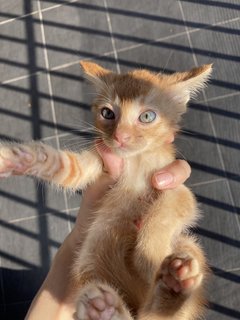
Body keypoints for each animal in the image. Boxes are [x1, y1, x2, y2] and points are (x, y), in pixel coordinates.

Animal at [0, 62, 212, 320]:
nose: (120, 137)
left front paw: (148, 258)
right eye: (107, 113)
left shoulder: (178, 190)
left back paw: (175, 279)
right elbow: (60, 164)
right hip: (89, 269)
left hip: (188, 244)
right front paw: (17, 158)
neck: (135, 162)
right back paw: (106, 308)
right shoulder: (94, 167)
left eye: (147, 116)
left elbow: (161, 214)